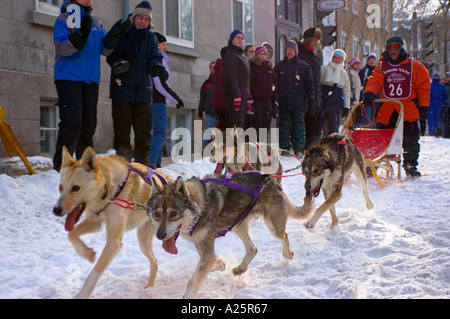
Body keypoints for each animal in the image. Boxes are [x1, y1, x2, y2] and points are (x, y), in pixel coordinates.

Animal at [52, 148, 172, 300]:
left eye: (75, 188)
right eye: (60, 187)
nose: (56, 210)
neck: (107, 190)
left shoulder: (114, 242)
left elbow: (94, 274)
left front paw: (82, 295)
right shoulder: (95, 222)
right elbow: (72, 234)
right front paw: (87, 253)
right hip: (143, 242)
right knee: (155, 262)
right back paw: (149, 288)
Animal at [146, 172, 312, 300]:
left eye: (174, 214)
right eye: (157, 214)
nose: (160, 235)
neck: (200, 206)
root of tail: (271, 179)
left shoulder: (206, 250)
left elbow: (193, 280)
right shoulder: (203, 247)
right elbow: (211, 263)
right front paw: (220, 264)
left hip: (272, 227)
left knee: (284, 235)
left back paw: (288, 254)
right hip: (238, 226)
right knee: (253, 248)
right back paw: (240, 269)